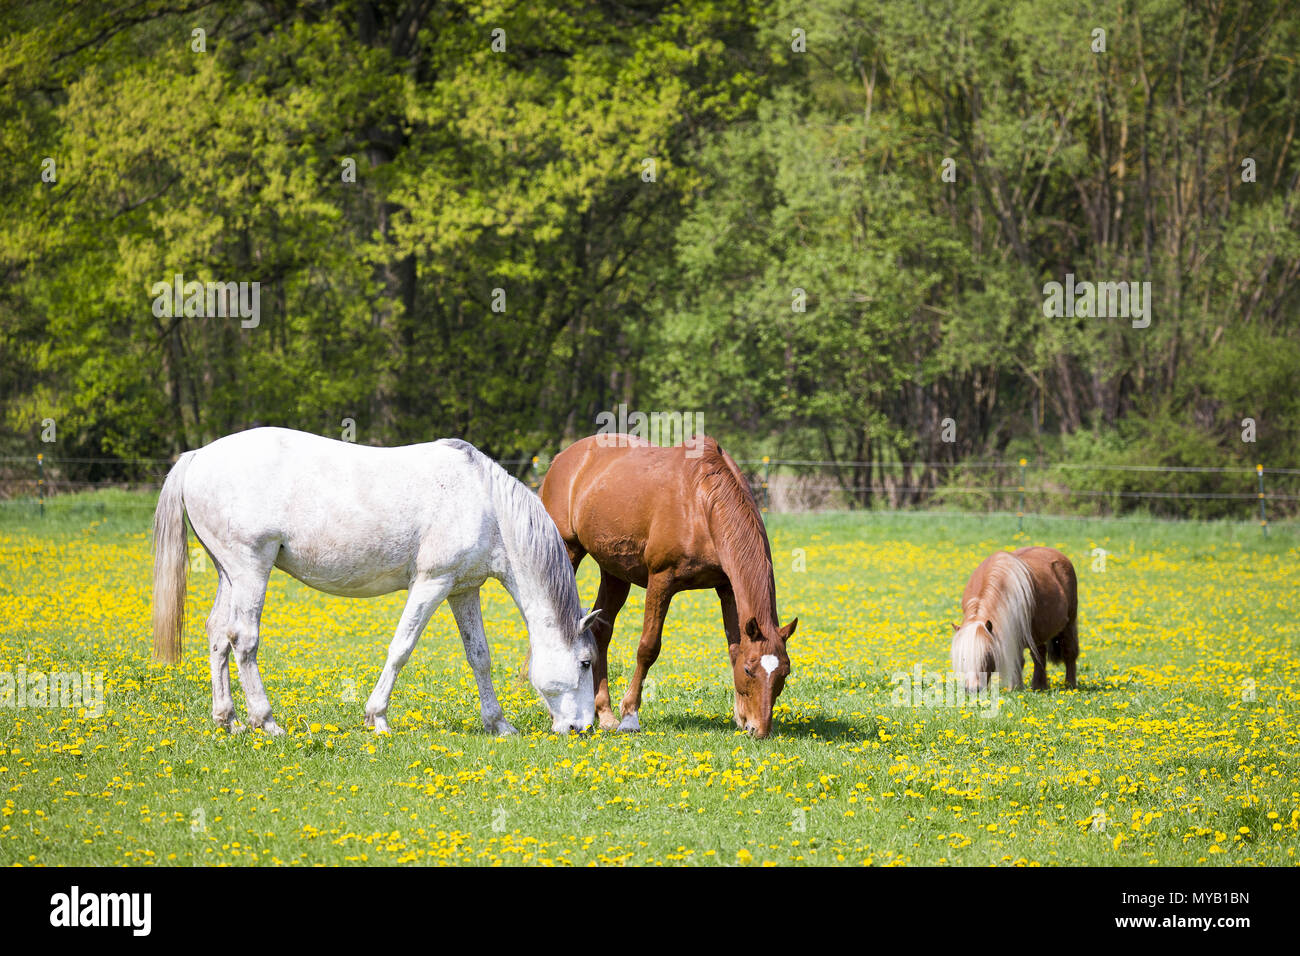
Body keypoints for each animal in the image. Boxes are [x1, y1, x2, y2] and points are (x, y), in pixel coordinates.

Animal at [151, 427, 600, 736]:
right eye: (585, 662)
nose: (582, 728)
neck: (485, 503)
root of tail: (198, 456)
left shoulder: (463, 589)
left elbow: (479, 656)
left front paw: (498, 724)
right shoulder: (431, 583)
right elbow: (401, 648)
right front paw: (377, 717)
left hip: (228, 574)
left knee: (217, 635)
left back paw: (227, 720)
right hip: (250, 570)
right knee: (243, 639)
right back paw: (267, 722)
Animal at [538, 433, 797, 738]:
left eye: (784, 673)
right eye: (749, 670)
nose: (760, 729)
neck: (701, 502)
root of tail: (562, 458)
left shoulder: (727, 588)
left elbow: (734, 646)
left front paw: (740, 715)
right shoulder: (661, 581)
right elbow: (648, 647)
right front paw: (630, 715)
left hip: (614, 571)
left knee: (601, 630)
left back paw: (604, 714)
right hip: (568, 551)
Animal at [950, 546, 1078, 692]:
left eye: (987, 655)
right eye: (963, 657)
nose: (973, 689)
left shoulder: (1016, 636)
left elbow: (1017, 662)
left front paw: (1015, 688)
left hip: (1069, 623)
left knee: (1069, 652)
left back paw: (1070, 685)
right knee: (1039, 656)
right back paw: (1039, 686)